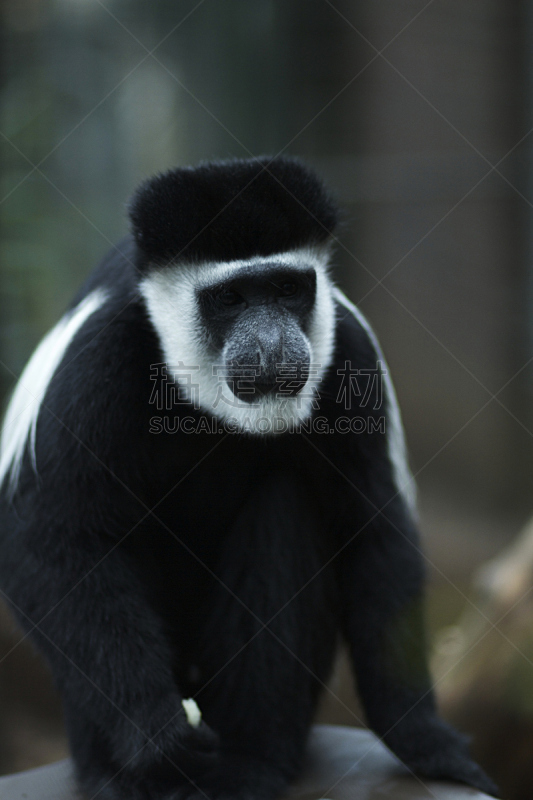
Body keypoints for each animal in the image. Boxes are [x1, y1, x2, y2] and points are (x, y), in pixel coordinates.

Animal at [0, 158, 494, 800]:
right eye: (230, 299)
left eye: (287, 289)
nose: (271, 345)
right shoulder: (95, 361)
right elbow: (55, 541)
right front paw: (159, 737)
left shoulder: (350, 352)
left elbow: (373, 530)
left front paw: (427, 743)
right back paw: (124, 778)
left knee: (286, 506)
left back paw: (250, 765)